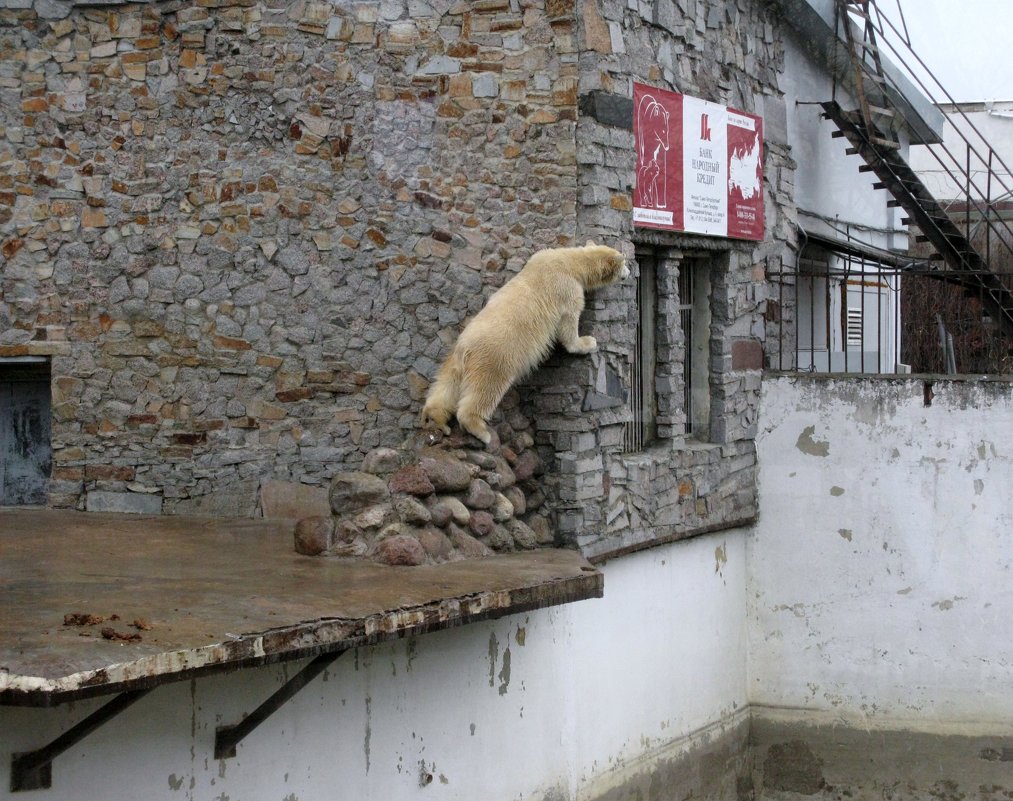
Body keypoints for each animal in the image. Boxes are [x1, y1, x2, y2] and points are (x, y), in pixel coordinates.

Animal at [417, 241, 624, 447]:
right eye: (625, 264)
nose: (628, 272)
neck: (571, 262)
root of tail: (465, 348)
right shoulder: (567, 288)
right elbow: (568, 325)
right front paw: (588, 342)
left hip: (454, 359)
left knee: (446, 388)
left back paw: (436, 420)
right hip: (495, 358)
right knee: (485, 391)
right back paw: (482, 432)